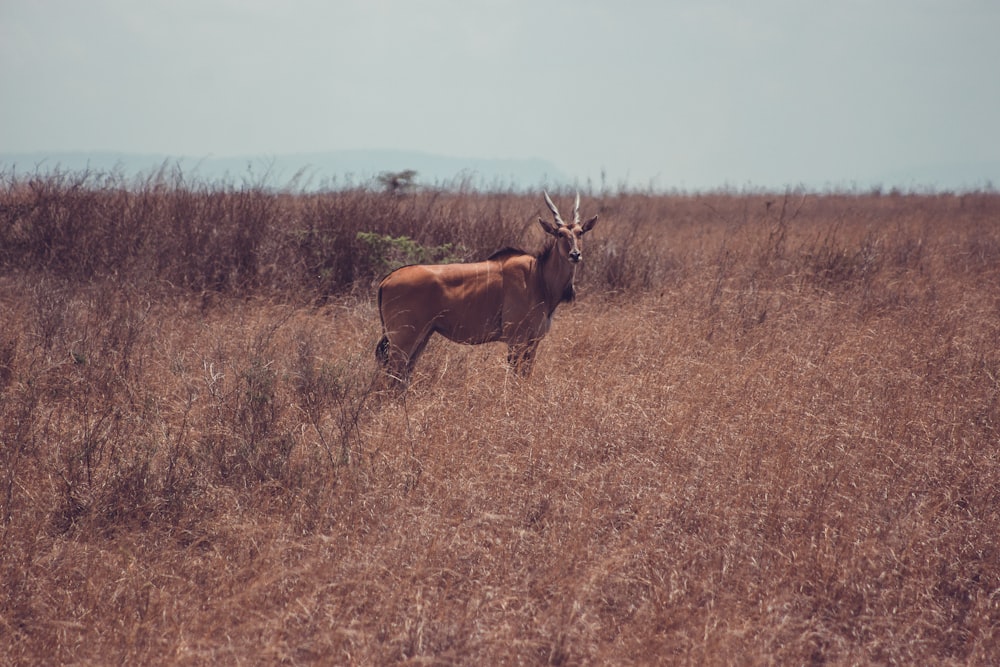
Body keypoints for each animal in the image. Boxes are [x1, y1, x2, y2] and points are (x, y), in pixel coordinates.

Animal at [374, 190, 592, 386]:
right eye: (560, 234)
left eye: (580, 232)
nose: (575, 254)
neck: (538, 276)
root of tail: (387, 280)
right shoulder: (516, 339)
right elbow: (515, 377)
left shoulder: (534, 341)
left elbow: (525, 375)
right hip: (403, 338)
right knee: (391, 373)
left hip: (422, 336)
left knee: (403, 374)